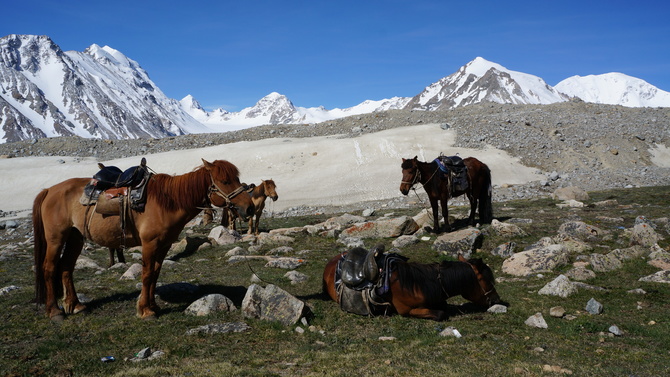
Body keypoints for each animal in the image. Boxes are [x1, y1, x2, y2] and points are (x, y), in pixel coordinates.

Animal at [30, 159, 255, 320]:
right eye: (225, 181)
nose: (250, 208)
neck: (168, 201)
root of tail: (49, 190)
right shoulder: (149, 244)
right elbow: (146, 275)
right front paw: (145, 311)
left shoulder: (164, 244)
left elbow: (155, 273)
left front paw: (153, 306)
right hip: (56, 238)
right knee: (49, 268)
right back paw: (55, 311)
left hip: (75, 238)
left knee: (66, 267)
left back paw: (75, 305)